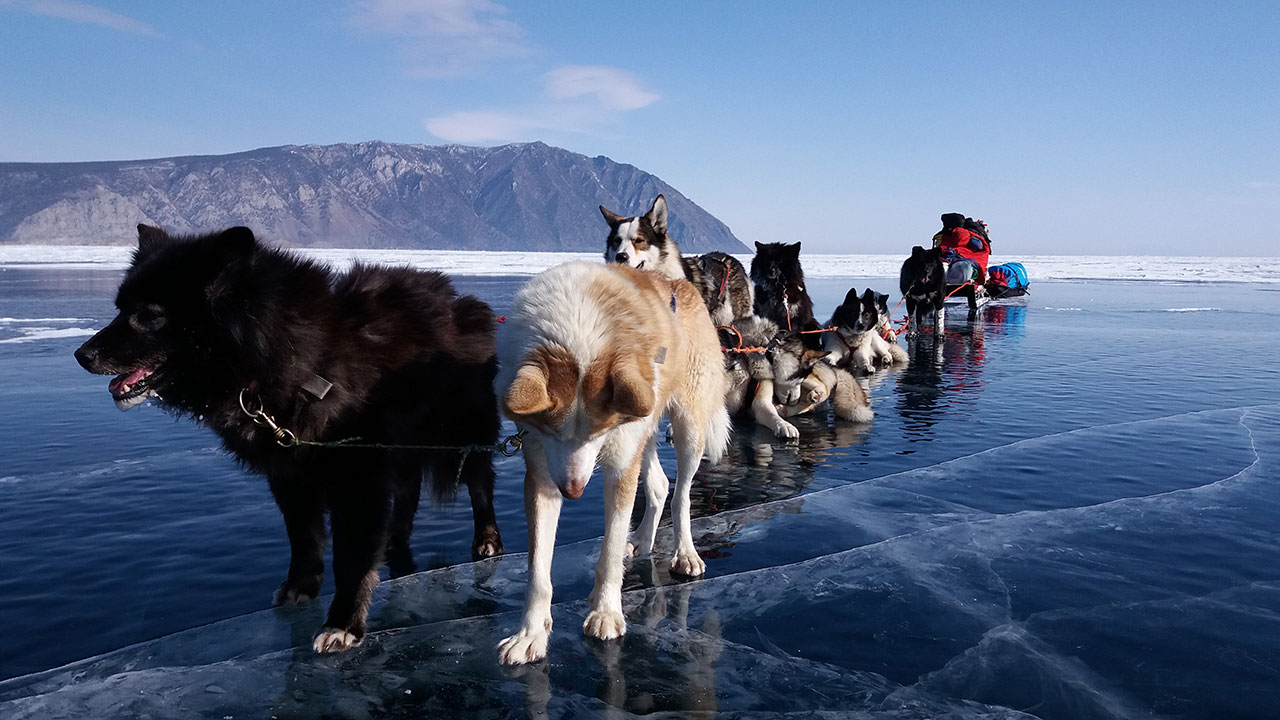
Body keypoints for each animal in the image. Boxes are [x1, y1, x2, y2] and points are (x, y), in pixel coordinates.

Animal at [494, 260, 732, 666]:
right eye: (551, 432)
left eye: (596, 434)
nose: (573, 490)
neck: (579, 332)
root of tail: (678, 282)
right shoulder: (542, 473)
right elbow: (538, 569)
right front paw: (530, 633)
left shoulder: (620, 463)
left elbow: (608, 552)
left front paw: (606, 611)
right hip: (643, 429)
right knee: (659, 485)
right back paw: (642, 539)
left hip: (686, 425)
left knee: (681, 494)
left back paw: (684, 552)